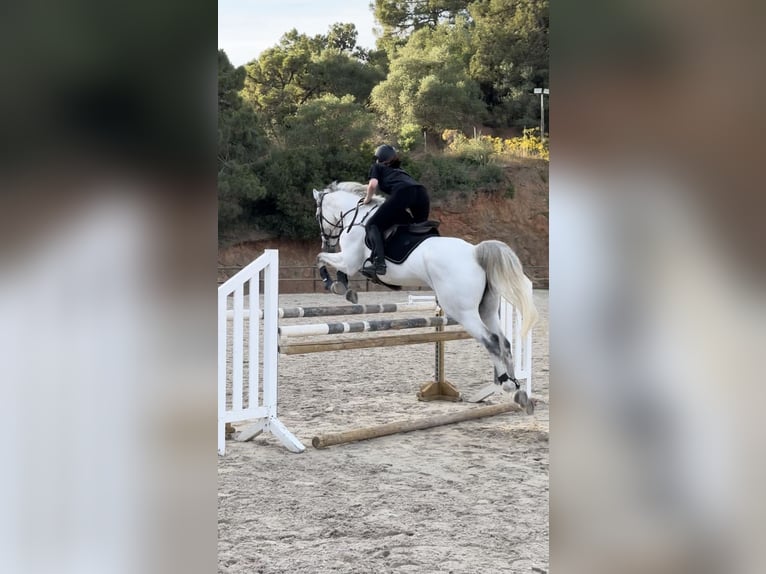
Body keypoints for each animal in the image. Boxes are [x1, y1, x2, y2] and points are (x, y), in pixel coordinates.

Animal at [313, 181, 539, 400]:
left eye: (317, 215)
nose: (327, 241)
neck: (357, 216)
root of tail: (475, 252)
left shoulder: (350, 261)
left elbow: (320, 258)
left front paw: (334, 284)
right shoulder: (349, 261)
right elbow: (328, 262)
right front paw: (344, 288)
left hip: (462, 311)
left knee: (491, 341)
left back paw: (506, 383)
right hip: (487, 309)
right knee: (504, 342)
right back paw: (515, 386)